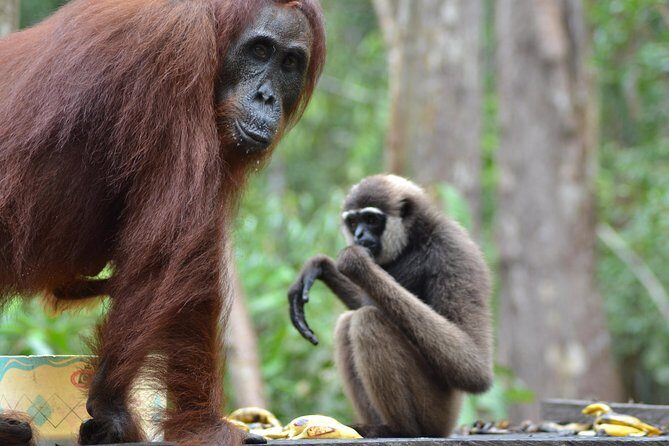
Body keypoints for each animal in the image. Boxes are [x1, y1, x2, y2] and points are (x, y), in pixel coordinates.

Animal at [288, 174, 493, 437]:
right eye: (353, 221)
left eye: (371, 219)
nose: (359, 234)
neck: (414, 241)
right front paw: (319, 265)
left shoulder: (453, 249)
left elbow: (475, 368)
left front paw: (355, 262)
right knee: (347, 322)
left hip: (438, 411)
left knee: (367, 320)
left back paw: (400, 430)